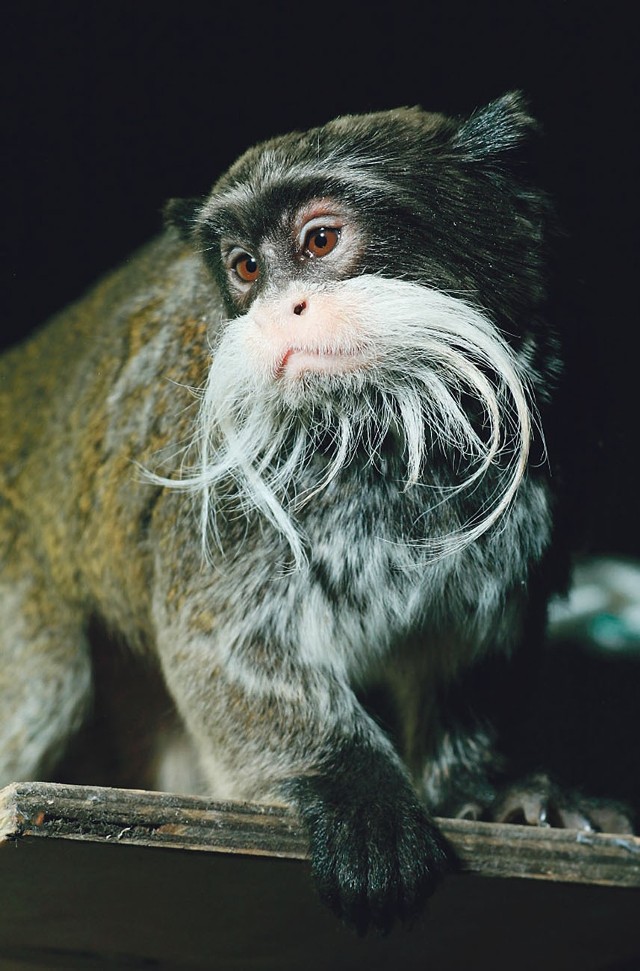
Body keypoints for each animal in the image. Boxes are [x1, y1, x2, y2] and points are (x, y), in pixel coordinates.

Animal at [1, 93, 592, 936]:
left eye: (320, 240)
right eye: (246, 267)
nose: (284, 309)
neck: (389, 429)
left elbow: (471, 649)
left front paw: (484, 792)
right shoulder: (216, 477)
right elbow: (220, 643)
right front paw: (355, 793)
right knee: (50, 675)